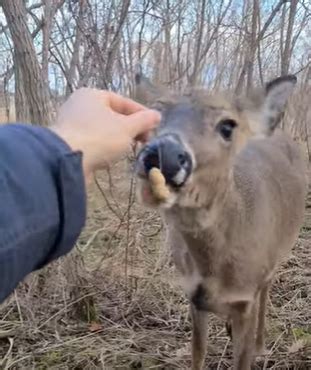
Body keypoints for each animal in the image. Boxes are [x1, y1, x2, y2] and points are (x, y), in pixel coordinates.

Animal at [133, 72, 308, 370]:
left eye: (228, 126)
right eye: (155, 115)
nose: (162, 153)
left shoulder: (245, 300)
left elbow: (242, 360)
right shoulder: (193, 295)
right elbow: (198, 352)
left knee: (267, 287)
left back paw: (261, 345)